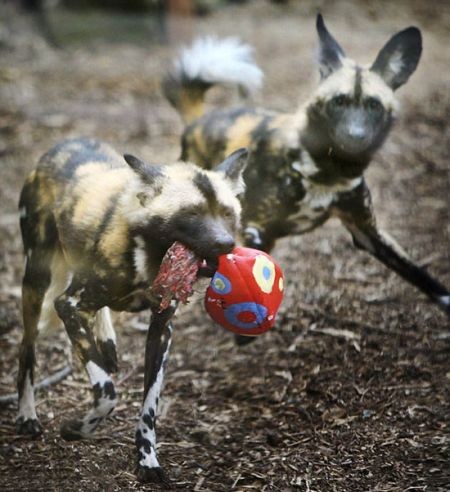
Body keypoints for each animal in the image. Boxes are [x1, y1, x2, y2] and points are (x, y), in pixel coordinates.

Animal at [17, 136, 248, 482]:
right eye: (191, 214)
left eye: (226, 213)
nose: (226, 244)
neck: (149, 254)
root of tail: (64, 143)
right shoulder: (68, 305)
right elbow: (107, 393)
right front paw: (77, 429)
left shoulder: (162, 328)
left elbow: (149, 407)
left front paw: (147, 460)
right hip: (36, 279)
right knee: (27, 347)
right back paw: (27, 413)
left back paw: (106, 342)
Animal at [164, 13, 450, 328]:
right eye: (339, 101)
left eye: (374, 105)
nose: (355, 136)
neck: (329, 172)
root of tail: (199, 121)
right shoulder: (256, 229)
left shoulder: (367, 232)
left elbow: (425, 279)